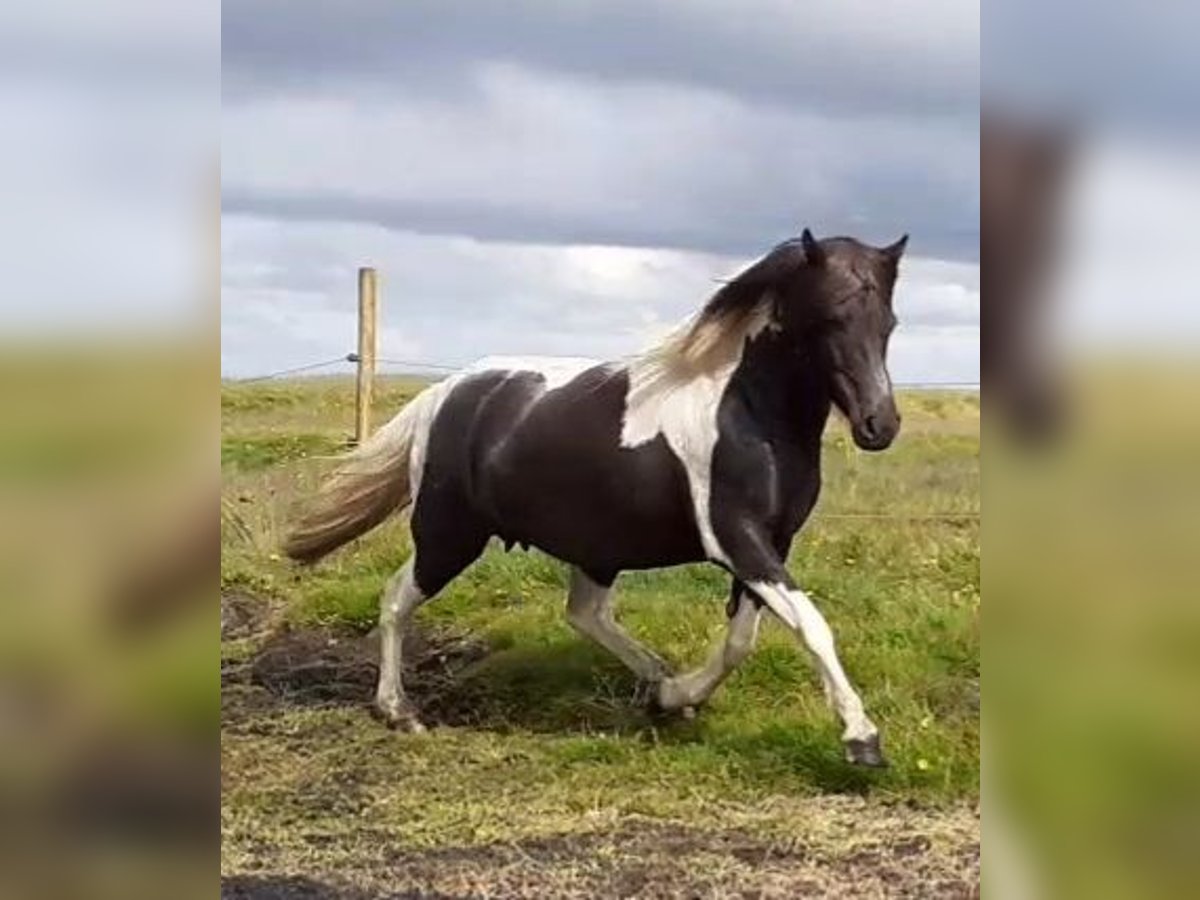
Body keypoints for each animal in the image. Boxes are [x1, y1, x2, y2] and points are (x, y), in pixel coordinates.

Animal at [288, 226, 907, 768]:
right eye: (830, 318)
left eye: (889, 323)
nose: (879, 425)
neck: (749, 413)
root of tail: (445, 393)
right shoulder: (737, 539)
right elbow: (811, 625)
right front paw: (862, 739)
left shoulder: (771, 543)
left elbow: (741, 639)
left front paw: (678, 697)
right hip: (448, 535)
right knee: (396, 598)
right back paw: (399, 710)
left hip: (591, 547)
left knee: (584, 613)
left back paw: (657, 683)